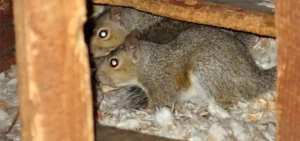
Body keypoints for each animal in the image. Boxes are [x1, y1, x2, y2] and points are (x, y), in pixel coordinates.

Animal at [96, 25, 276, 109]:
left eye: (114, 62)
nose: (97, 75)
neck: (148, 65)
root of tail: (253, 78)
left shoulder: (161, 86)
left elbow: (159, 103)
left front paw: (145, 111)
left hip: (207, 71)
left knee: (228, 100)